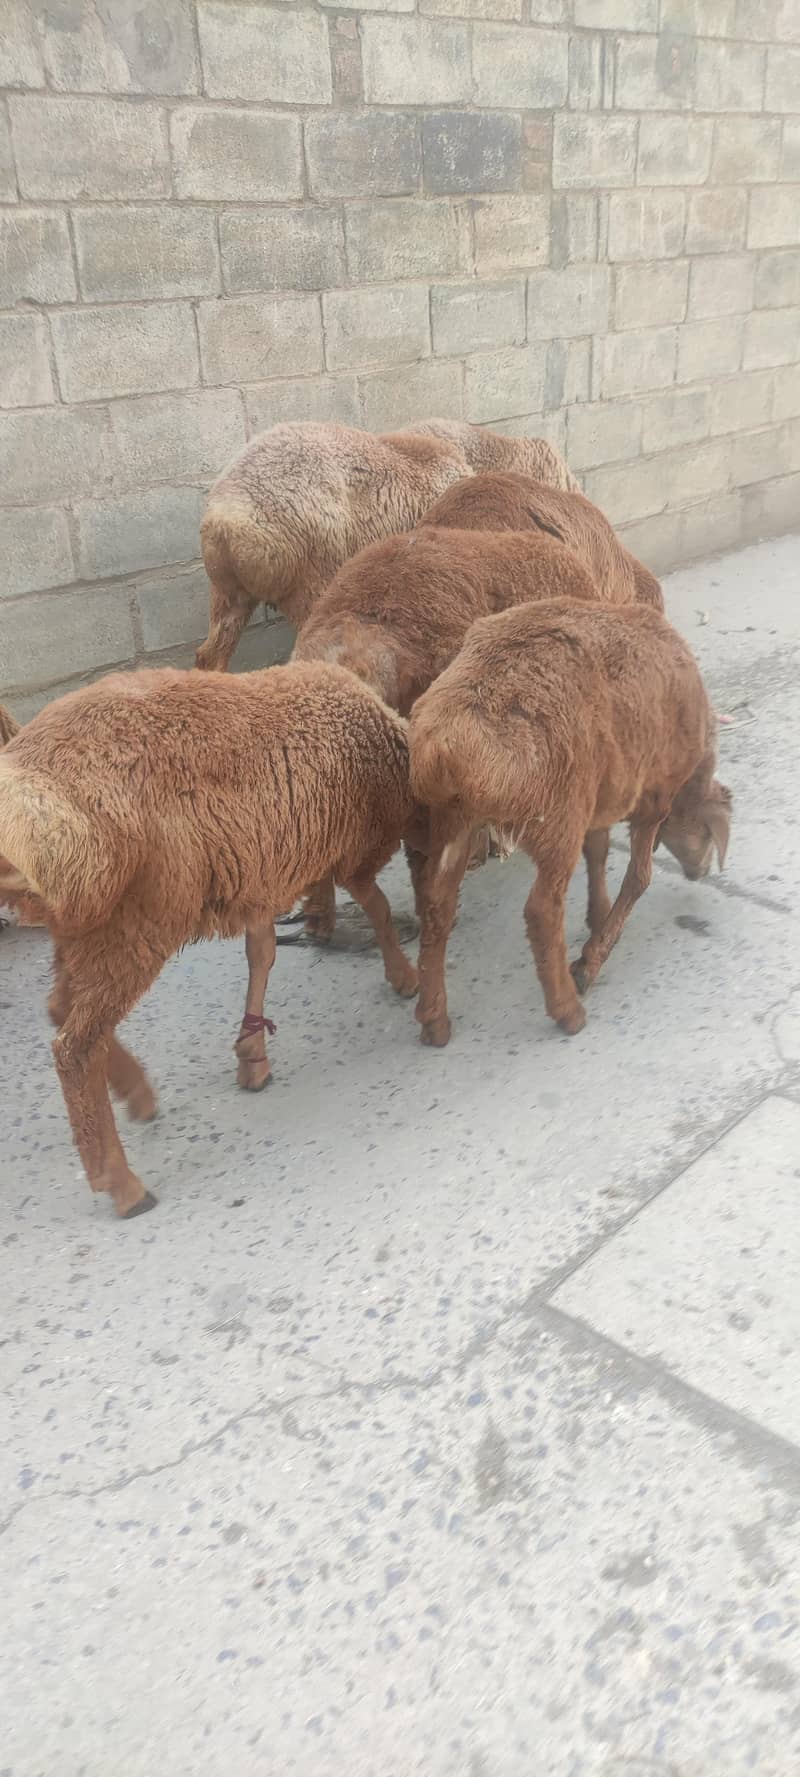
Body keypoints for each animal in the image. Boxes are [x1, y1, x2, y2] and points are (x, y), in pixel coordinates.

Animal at [0, 662, 418, 1218]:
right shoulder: (353, 847)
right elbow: (378, 906)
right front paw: (404, 975)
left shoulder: (265, 868)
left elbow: (262, 954)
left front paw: (252, 1054)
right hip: (132, 923)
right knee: (76, 1046)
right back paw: (123, 1183)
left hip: (85, 926)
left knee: (62, 1006)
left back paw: (137, 1095)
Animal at [407, 598, 731, 1048]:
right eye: (706, 833)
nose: (699, 872)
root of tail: (447, 747)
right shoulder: (653, 798)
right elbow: (639, 877)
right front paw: (592, 957)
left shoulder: (603, 798)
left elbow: (598, 852)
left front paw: (598, 915)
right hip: (556, 816)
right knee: (542, 911)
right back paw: (568, 1008)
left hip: (454, 822)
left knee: (437, 904)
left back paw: (434, 1020)